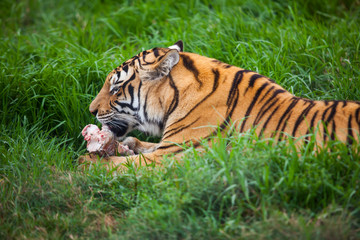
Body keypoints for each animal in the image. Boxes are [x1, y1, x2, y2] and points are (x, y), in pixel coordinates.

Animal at [80, 40, 360, 170]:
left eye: (115, 88)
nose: (91, 110)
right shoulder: (167, 147)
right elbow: (143, 146)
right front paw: (127, 145)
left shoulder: (171, 155)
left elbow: (120, 165)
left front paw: (85, 162)